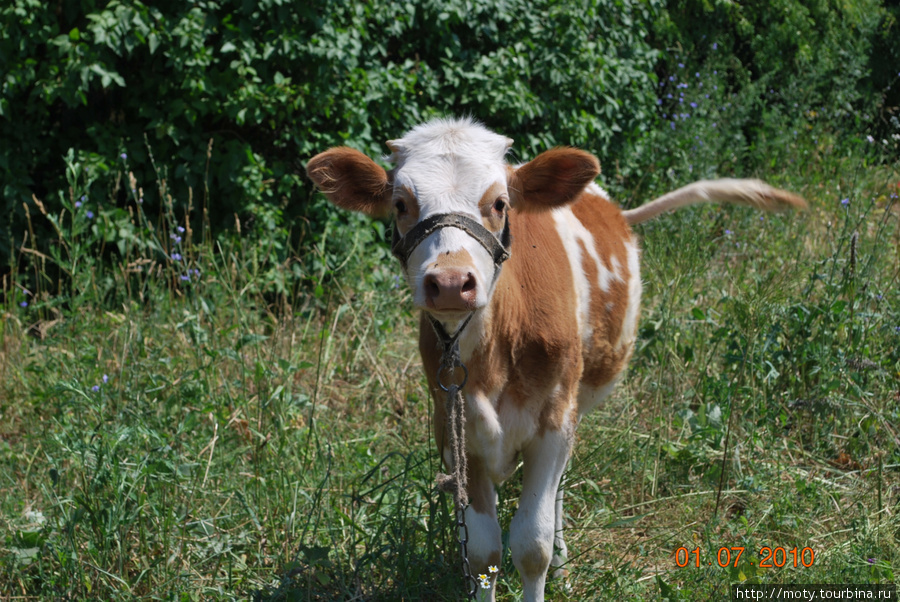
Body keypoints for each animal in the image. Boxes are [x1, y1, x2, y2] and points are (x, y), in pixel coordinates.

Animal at [306, 117, 804, 600]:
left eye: (500, 203)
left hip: (577, 401)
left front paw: (550, 559)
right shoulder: (454, 429)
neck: (493, 354)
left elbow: (532, 546)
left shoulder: (553, 421)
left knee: (559, 487)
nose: (449, 283)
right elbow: (483, 552)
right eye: (401, 204)